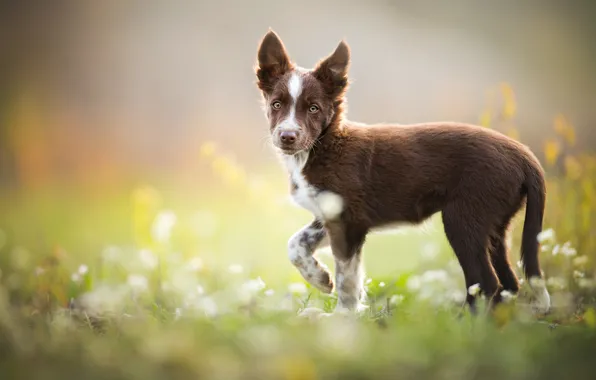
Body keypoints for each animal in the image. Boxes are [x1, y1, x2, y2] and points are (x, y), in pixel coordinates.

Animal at [251, 29, 548, 314]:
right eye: (276, 104)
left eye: (314, 108)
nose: (287, 136)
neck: (323, 146)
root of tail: (524, 156)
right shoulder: (336, 215)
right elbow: (297, 244)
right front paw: (321, 279)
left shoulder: (348, 221)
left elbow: (347, 278)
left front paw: (342, 317)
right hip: (494, 225)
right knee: (509, 282)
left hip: (463, 219)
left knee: (486, 282)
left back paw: (466, 322)